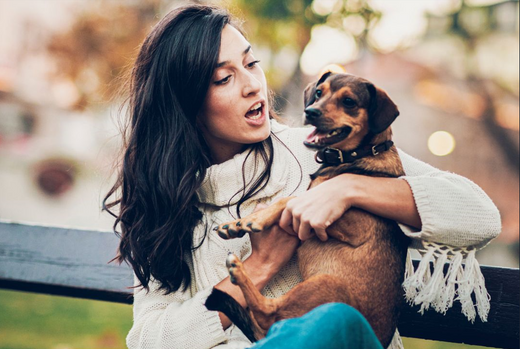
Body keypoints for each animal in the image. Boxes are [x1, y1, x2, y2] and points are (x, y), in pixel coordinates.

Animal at [206, 72, 410, 346]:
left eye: (349, 101)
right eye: (319, 93)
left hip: (327, 283)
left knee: (267, 311)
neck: (357, 156)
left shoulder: (354, 225)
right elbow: (294, 197)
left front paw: (254, 220)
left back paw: (238, 270)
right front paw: (235, 225)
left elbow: (293, 199)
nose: (311, 112)